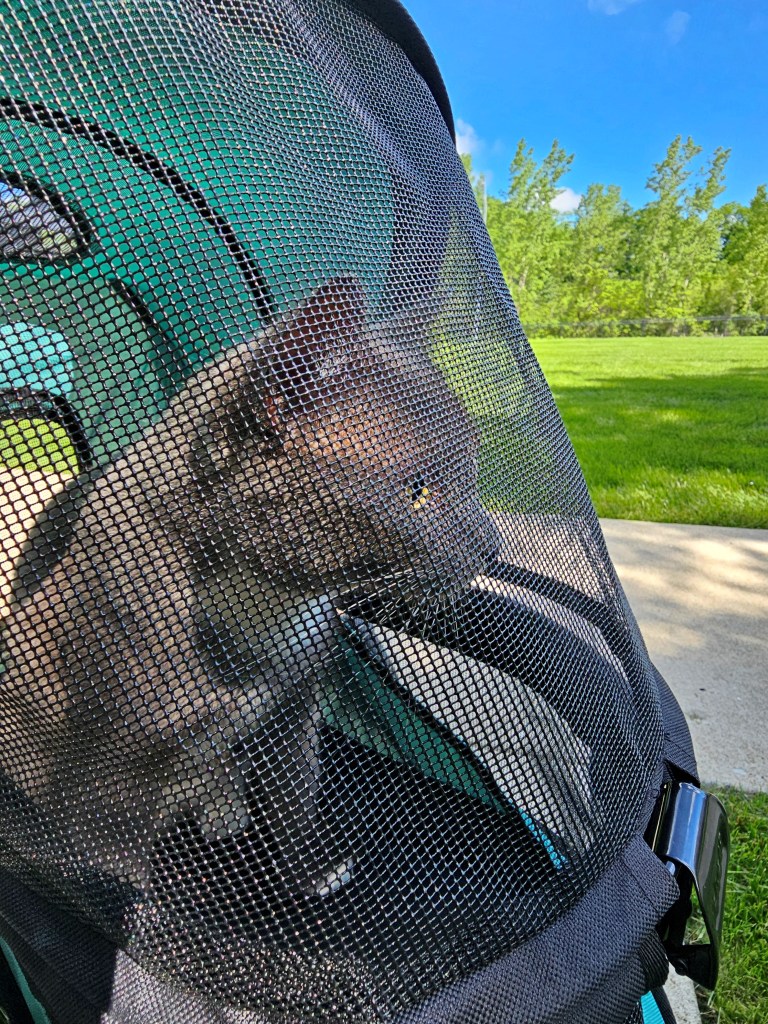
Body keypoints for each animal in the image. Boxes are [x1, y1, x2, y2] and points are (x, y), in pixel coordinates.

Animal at [0, 276, 501, 895]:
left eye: (474, 471)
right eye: (419, 491)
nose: (492, 546)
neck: (260, 606)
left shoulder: (298, 700)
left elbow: (295, 791)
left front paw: (312, 866)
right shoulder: (111, 758)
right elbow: (112, 855)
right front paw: (131, 901)